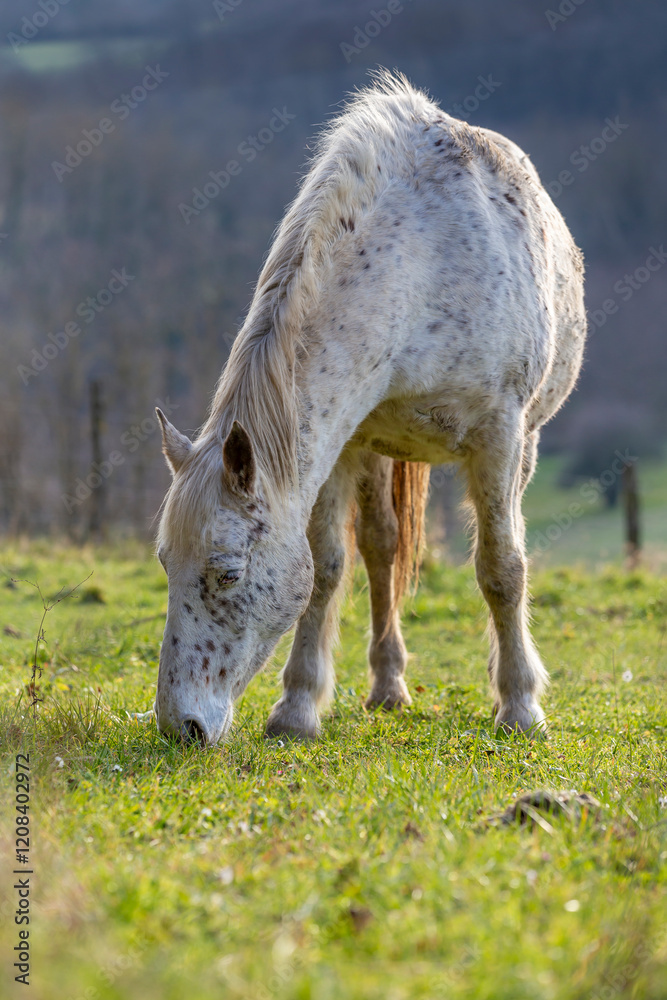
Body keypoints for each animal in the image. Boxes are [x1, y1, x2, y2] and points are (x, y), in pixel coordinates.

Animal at [154, 70, 586, 746]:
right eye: (166, 562)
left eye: (226, 574)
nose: (182, 726)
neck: (421, 262)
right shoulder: (342, 444)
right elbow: (329, 568)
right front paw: (297, 708)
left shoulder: (500, 434)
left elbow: (502, 567)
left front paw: (520, 705)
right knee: (382, 551)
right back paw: (388, 687)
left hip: (524, 444)